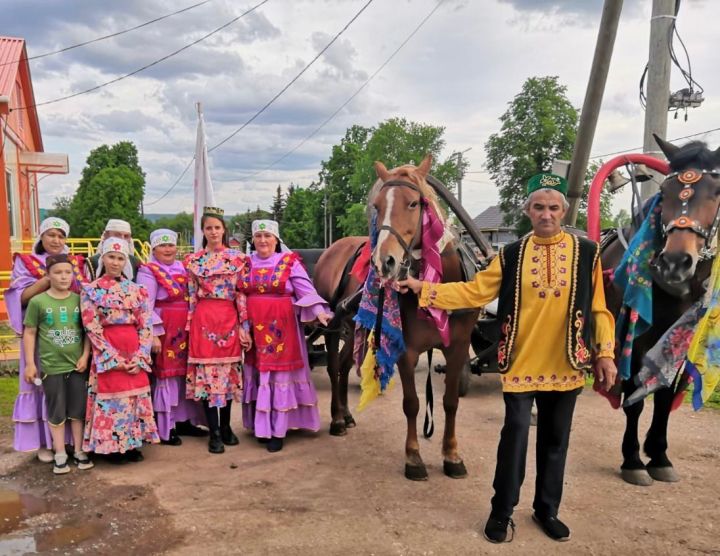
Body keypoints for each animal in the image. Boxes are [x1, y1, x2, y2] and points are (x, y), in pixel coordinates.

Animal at [600, 136, 720, 486]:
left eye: (716, 191)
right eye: (665, 192)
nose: (675, 263)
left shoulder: (680, 338)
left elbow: (665, 395)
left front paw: (659, 455)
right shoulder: (635, 340)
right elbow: (634, 398)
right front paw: (632, 461)